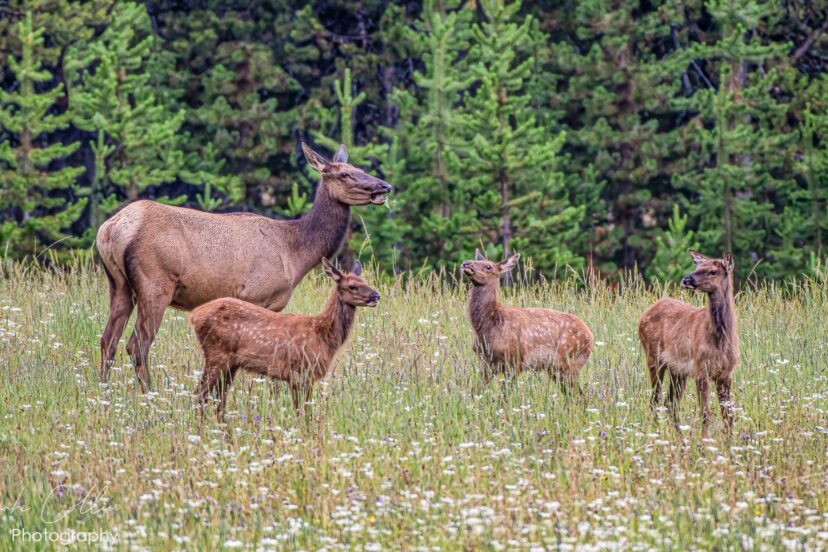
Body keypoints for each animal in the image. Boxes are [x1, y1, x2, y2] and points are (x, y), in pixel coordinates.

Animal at [96, 143, 391, 392]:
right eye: (345, 174)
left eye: (360, 169)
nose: (384, 187)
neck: (296, 253)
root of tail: (110, 229)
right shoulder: (257, 294)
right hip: (154, 284)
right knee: (137, 344)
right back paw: (149, 393)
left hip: (119, 284)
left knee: (107, 340)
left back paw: (104, 391)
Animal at [189, 258, 379, 418]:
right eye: (352, 286)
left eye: (366, 282)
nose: (376, 295)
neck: (323, 335)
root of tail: (194, 315)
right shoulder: (300, 372)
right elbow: (302, 412)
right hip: (217, 353)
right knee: (200, 395)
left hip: (231, 363)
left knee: (218, 399)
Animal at [461, 249, 594, 396]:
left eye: (488, 266)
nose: (465, 263)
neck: (490, 327)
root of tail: (591, 337)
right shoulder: (487, 362)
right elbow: (475, 391)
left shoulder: (515, 360)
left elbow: (504, 395)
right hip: (557, 369)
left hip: (568, 360)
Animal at [638, 250, 739, 432]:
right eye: (698, 267)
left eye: (713, 271)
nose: (687, 279)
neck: (720, 339)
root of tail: (644, 314)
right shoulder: (701, 369)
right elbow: (705, 414)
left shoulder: (726, 373)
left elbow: (728, 416)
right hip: (653, 357)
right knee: (655, 400)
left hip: (678, 370)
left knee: (670, 403)